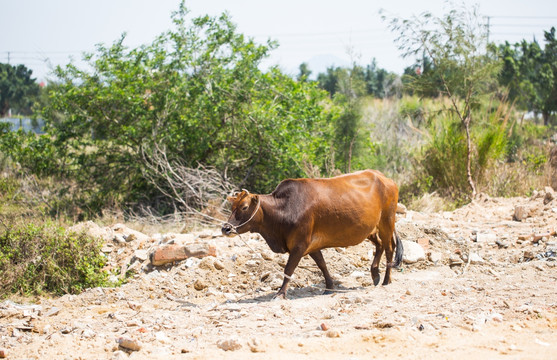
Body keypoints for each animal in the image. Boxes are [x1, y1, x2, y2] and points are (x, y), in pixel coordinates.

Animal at [223, 170, 404, 300]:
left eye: (244, 207)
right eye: (232, 206)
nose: (225, 228)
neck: (284, 209)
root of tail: (385, 178)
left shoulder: (299, 245)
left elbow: (289, 269)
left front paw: (280, 293)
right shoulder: (311, 246)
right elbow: (322, 265)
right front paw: (329, 286)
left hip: (386, 222)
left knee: (389, 248)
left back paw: (386, 279)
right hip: (370, 229)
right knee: (380, 245)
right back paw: (375, 274)